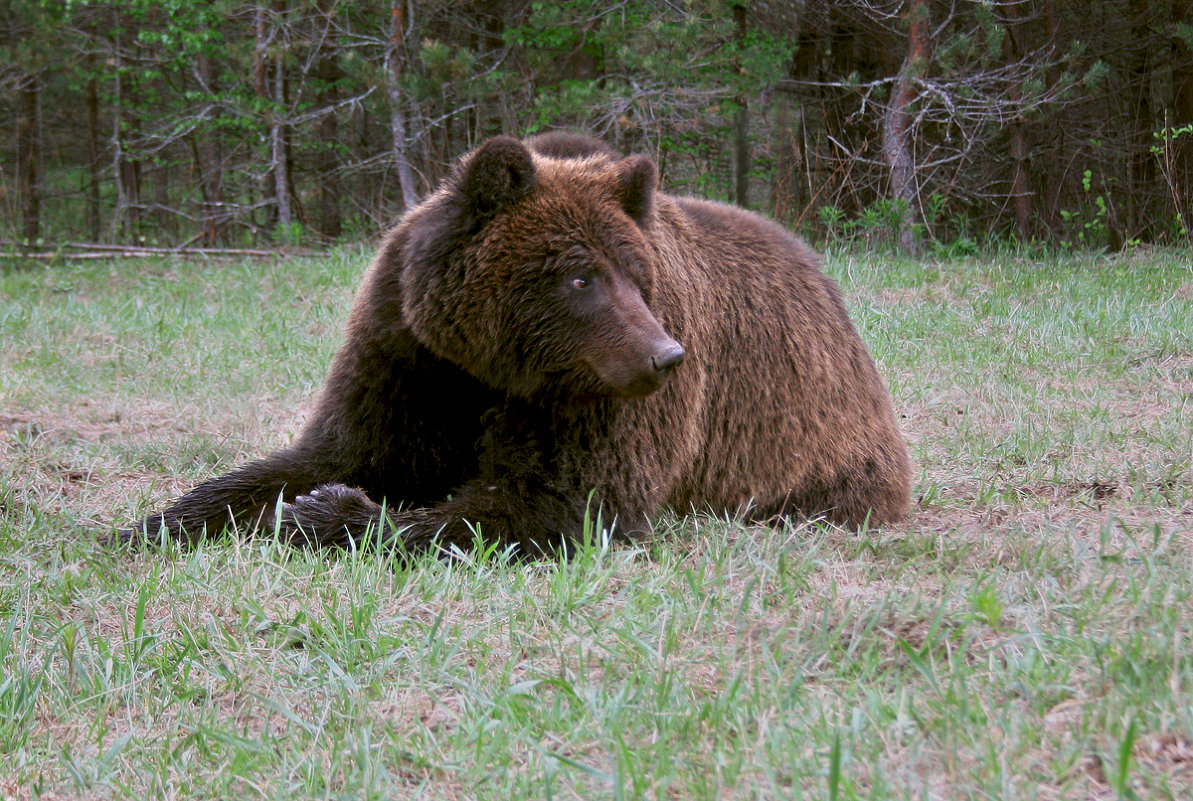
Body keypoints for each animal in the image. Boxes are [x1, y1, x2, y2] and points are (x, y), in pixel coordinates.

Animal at [121, 133, 906, 558]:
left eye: (637, 274)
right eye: (581, 276)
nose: (664, 358)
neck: (486, 364)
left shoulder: (584, 397)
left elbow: (555, 502)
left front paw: (322, 512)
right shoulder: (408, 355)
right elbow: (331, 451)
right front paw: (153, 523)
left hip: (809, 440)